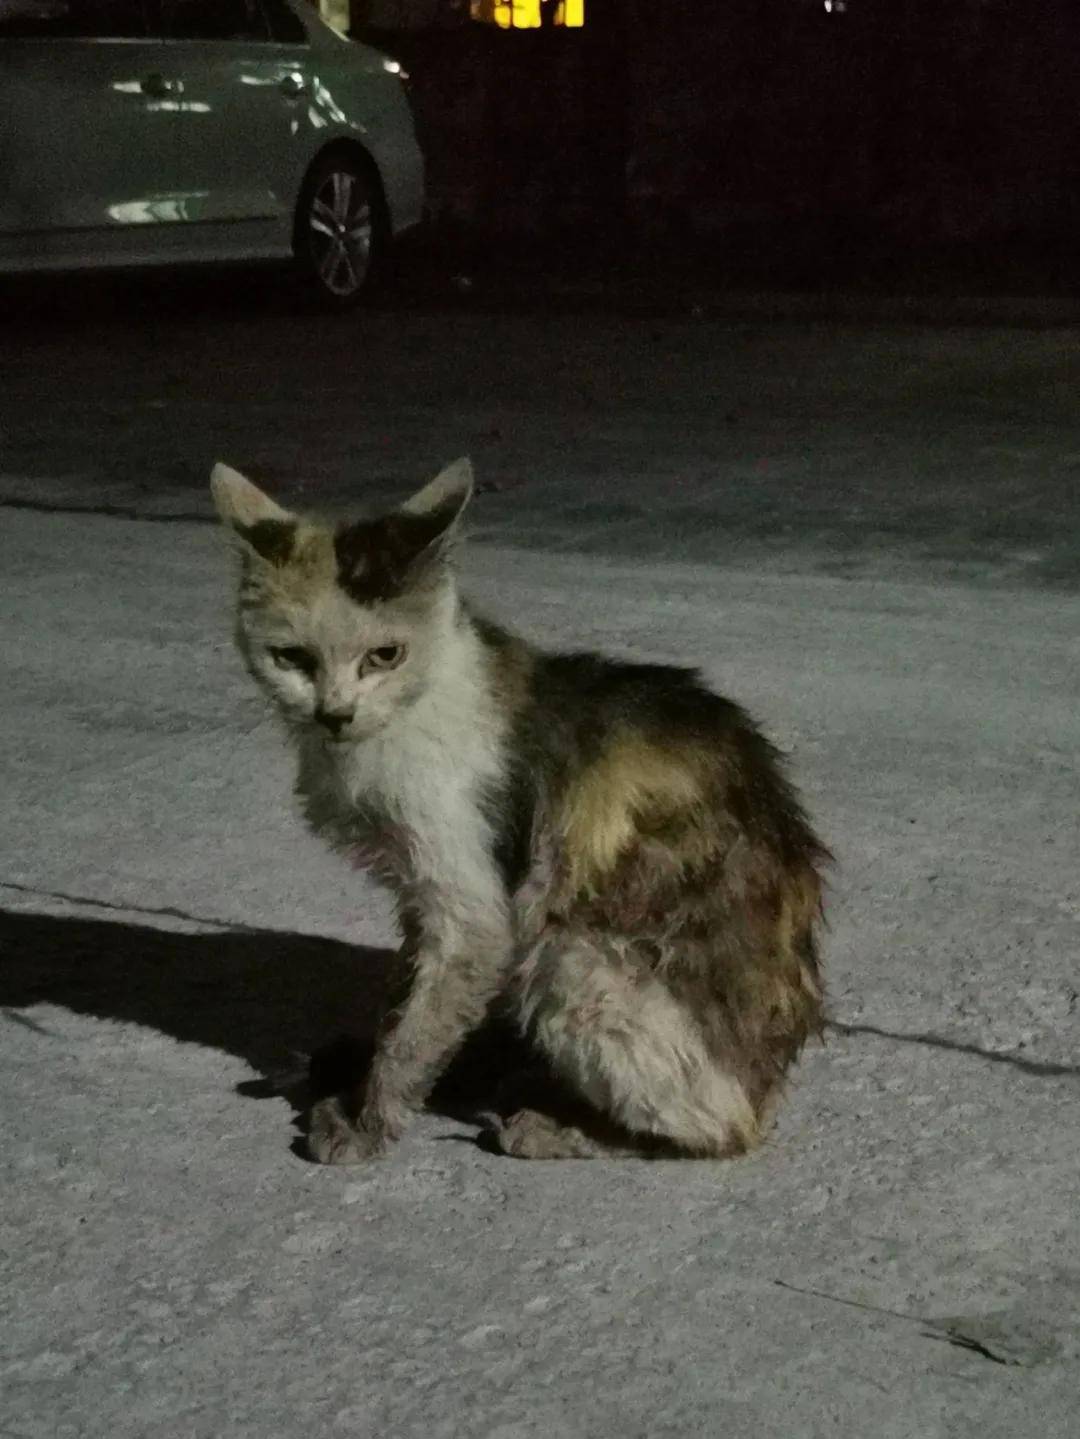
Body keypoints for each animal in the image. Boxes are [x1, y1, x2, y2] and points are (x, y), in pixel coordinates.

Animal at [215, 463, 834, 1168]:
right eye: (291, 658)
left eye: (386, 655)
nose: (335, 713)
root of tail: (770, 1086)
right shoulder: (421, 896)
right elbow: (405, 999)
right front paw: (370, 1068)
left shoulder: (472, 906)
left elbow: (416, 1031)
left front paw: (369, 1121)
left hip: (571, 959)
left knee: (720, 1131)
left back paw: (558, 1126)